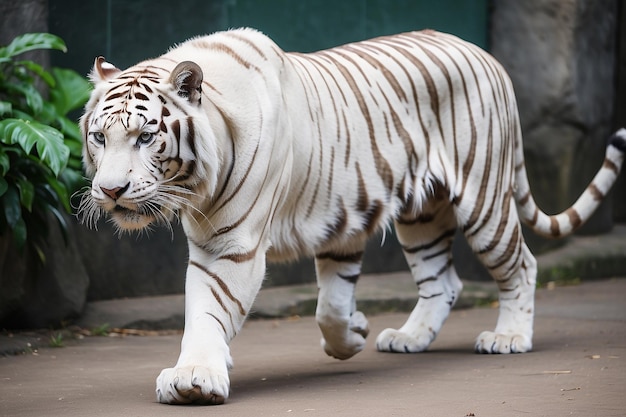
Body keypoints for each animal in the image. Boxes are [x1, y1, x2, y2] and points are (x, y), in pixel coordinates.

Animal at [79, 28, 624, 404]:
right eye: (100, 137)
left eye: (146, 136)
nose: (111, 190)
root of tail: (486, 55)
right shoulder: (341, 219)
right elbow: (330, 306)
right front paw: (353, 336)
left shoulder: (232, 244)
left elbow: (212, 309)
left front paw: (195, 377)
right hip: (422, 215)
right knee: (443, 281)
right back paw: (409, 338)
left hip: (484, 199)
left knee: (522, 264)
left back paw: (509, 337)